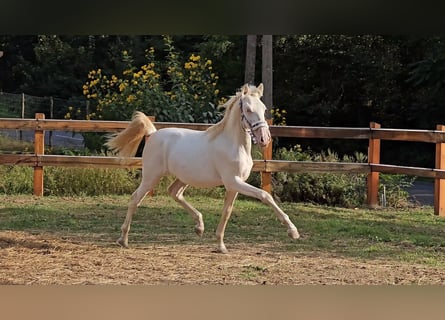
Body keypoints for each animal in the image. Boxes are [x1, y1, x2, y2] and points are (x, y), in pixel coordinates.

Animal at [106, 84, 298, 254]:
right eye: (249, 109)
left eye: (264, 109)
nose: (265, 138)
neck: (234, 145)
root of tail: (152, 134)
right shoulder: (233, 182)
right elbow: (265, 195)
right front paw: (293, 231)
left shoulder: (234, 186)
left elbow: (226, 212)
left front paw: (221, 246)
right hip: (151, 177)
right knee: (135, 199)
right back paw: (123, 240)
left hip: (183, 178)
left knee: (174, 192)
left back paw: (199, 226)